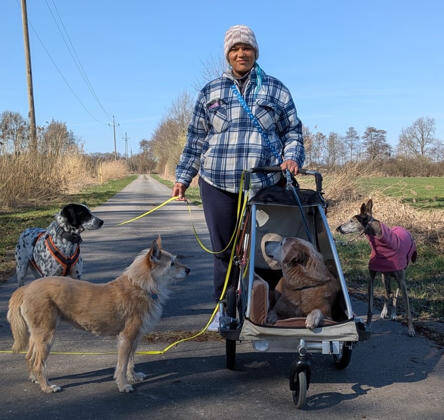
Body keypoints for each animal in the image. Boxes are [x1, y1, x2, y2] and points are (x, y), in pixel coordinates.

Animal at [7, 237, 190, 393]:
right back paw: (46, 387)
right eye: (172, 263)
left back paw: (34, 379)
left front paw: (133, 376)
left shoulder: (135, 338)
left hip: (37, 335)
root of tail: (26, 288)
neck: (141, 286)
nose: (189, 270)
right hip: (46, 337)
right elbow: (122, 365)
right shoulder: (126, 338)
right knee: (39, 363)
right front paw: (123, 385)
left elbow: (130, 361)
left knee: (29, 357)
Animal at [336, 199, 416, 336]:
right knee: (387, 292)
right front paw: (368, 325)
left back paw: (393, 313)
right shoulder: (371, 277)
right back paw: (385, 312)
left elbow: (407, 308)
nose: (338, 228)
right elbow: (370, 306)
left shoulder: (401, 280)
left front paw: (411, 329)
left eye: (352, 220)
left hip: (399, 277)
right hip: (385, 276)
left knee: (395, 292)